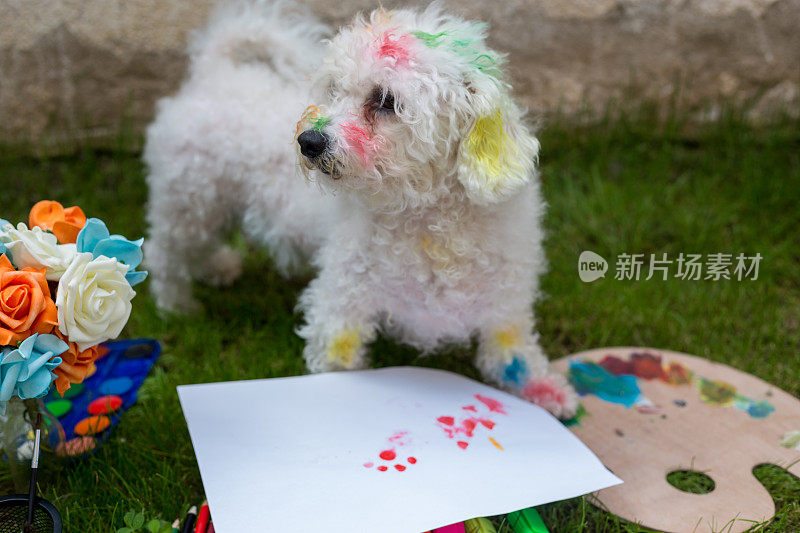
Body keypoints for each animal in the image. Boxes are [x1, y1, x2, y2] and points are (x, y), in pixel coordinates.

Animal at [145, 2, 576, 418]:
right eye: (334, 90)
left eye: (385, 101)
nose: (308, 141)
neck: (431, 226)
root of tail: (214, 72)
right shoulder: (341, 304)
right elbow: (339, 362)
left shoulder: (505, 309)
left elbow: (514, 357)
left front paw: (552, 391)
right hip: (191, 201)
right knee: (163, 255)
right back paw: (177, 306)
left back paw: (217, 268)